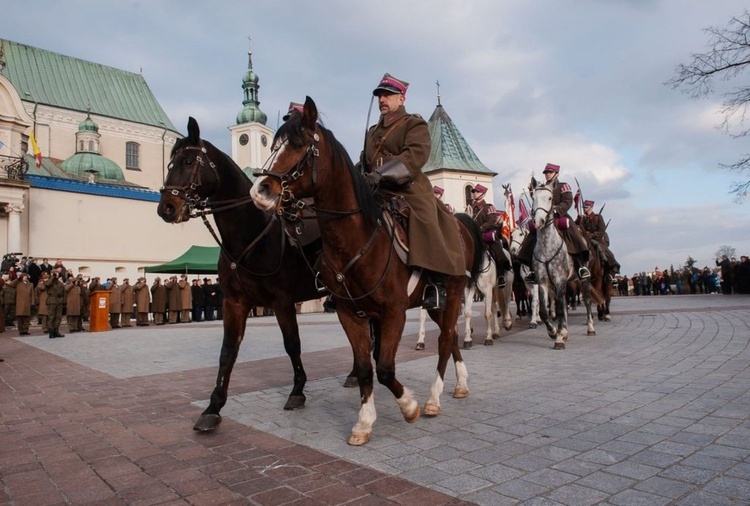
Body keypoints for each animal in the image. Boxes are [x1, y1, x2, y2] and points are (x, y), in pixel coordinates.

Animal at [160, 117, 328, 430]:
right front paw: (213, 406)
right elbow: (228, 352)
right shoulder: (234, 303)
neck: (251, 237)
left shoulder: (282, 302)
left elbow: (292, 344)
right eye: (169, 164)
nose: (166, 207)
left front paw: (298, 390)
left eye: (188, 161)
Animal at [250, 97, 484, 444]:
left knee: (445, 341)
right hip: (436, 303)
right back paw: (461, 384)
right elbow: (364, 367)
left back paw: (433, 398)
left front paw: (409, 406)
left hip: (453, 292)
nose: (260, 190)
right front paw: (364, 422)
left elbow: (385, 367)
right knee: (451, 337)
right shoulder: (350, 313)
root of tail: (459, 223)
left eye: (299, 145)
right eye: (274, 145)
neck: (357, 240)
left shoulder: (394, 312)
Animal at [536, 184, 600, 350]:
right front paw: (553, 332)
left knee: (587, 301)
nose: (538, 221)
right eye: (534, 197)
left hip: (583, 279)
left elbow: (559, 310)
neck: (547, 246)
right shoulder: (543, 282)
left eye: (550, 198)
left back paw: (590, 328)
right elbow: (544, 311)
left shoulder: (559, 280)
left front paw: (558, 339)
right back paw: (564, 331)